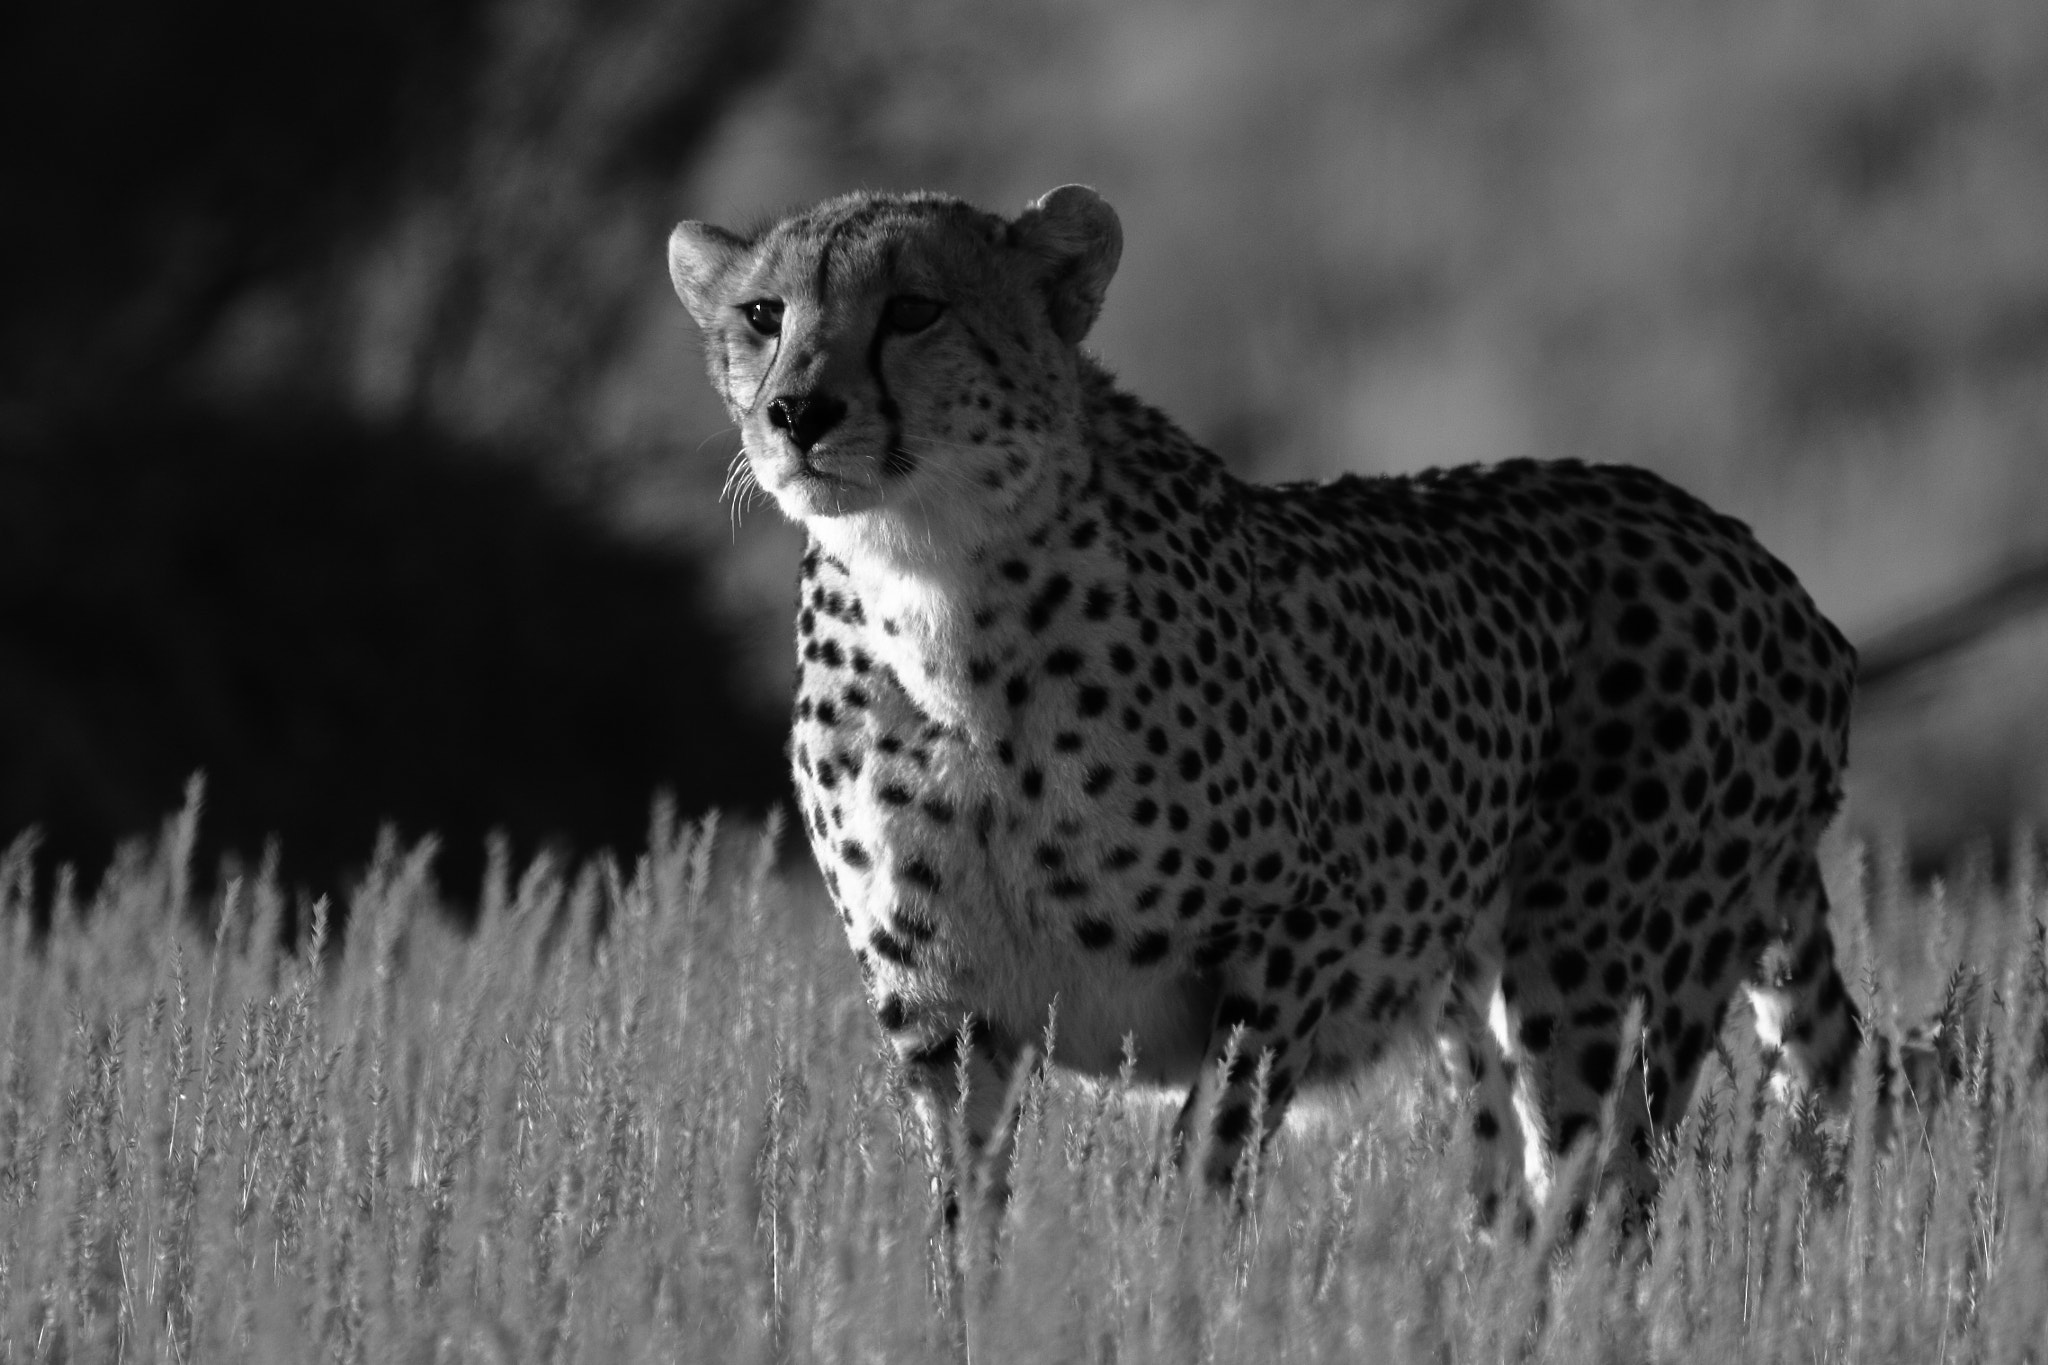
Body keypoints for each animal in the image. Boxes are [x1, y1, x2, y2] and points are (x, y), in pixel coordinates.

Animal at [666, 184, 1902, 1232]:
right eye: (764, 313)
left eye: (915, 309)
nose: (797, 412)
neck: (934, 584)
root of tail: (1762, 565)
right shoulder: (943, 1014)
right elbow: (968, 1228)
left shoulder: (1301, 933)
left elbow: (1206, 1162)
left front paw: (1170, 1293)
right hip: (1477, 1000)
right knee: (1512, 1199)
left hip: (1600, 965)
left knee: (1599, 1204)